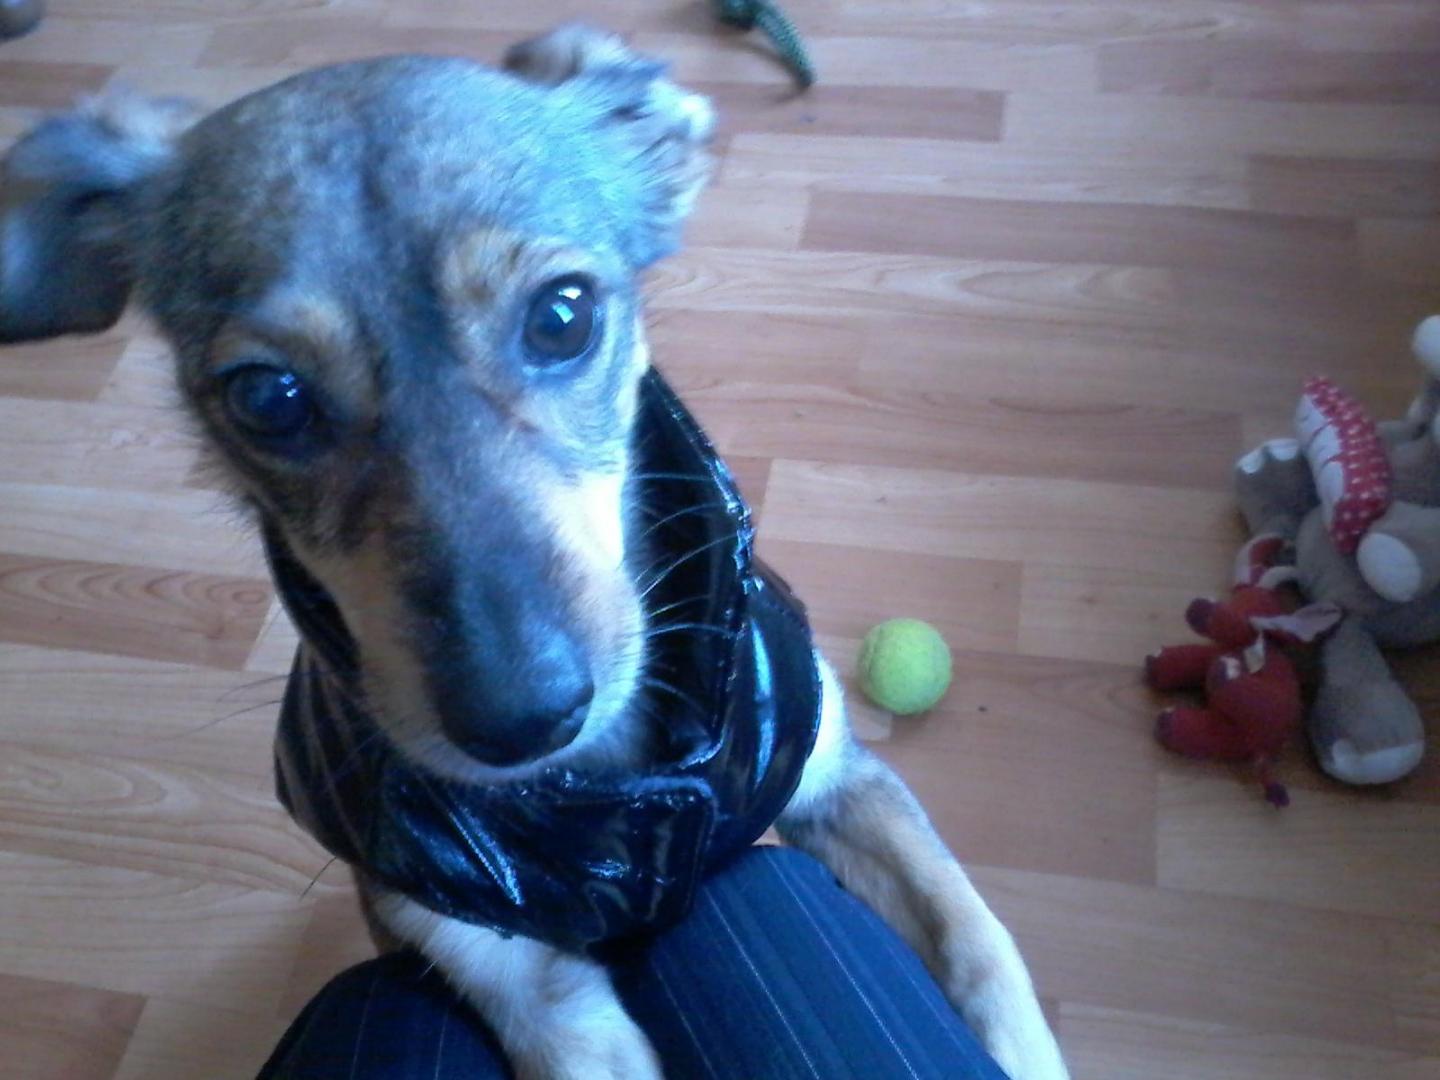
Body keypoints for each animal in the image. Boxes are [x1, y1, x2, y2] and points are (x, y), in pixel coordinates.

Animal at [0, 26, 1068, 1080]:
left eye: (564, 314)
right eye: (268, 398)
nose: (522, 720)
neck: (611, 801)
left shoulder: (840, 779)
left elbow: (983, 943)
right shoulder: (511, 973)